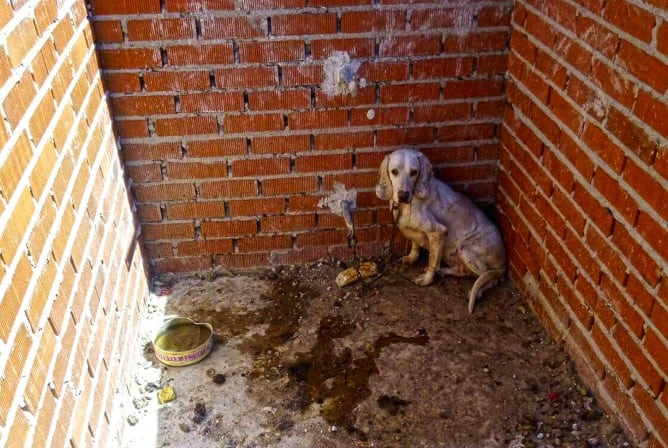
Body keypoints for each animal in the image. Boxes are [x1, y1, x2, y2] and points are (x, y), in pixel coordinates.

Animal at [376, 149, 506, 314]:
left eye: (414, 172)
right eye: (394, 171)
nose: (403, 195)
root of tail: (503, 265)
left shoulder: (438, 232)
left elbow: (432, 261)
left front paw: (426, 280)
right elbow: (415, 244)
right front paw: (412, 258)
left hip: (465, 250)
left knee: (491, 279)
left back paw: (477, 292)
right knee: (464, 272)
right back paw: (443, 271)